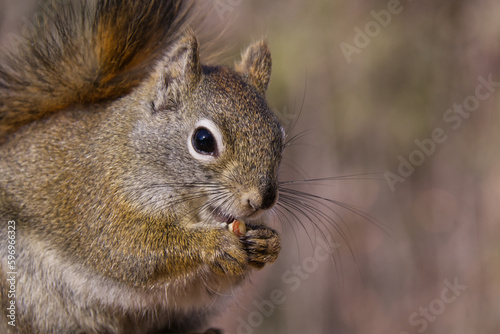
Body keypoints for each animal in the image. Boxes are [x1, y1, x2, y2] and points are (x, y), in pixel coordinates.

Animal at [0, 1, 284, 332]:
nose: (260, 201)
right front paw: (214, 243)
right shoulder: (102, 202)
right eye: (203, 141)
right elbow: (132, 249)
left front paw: (268, 242)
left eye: (280, 136)